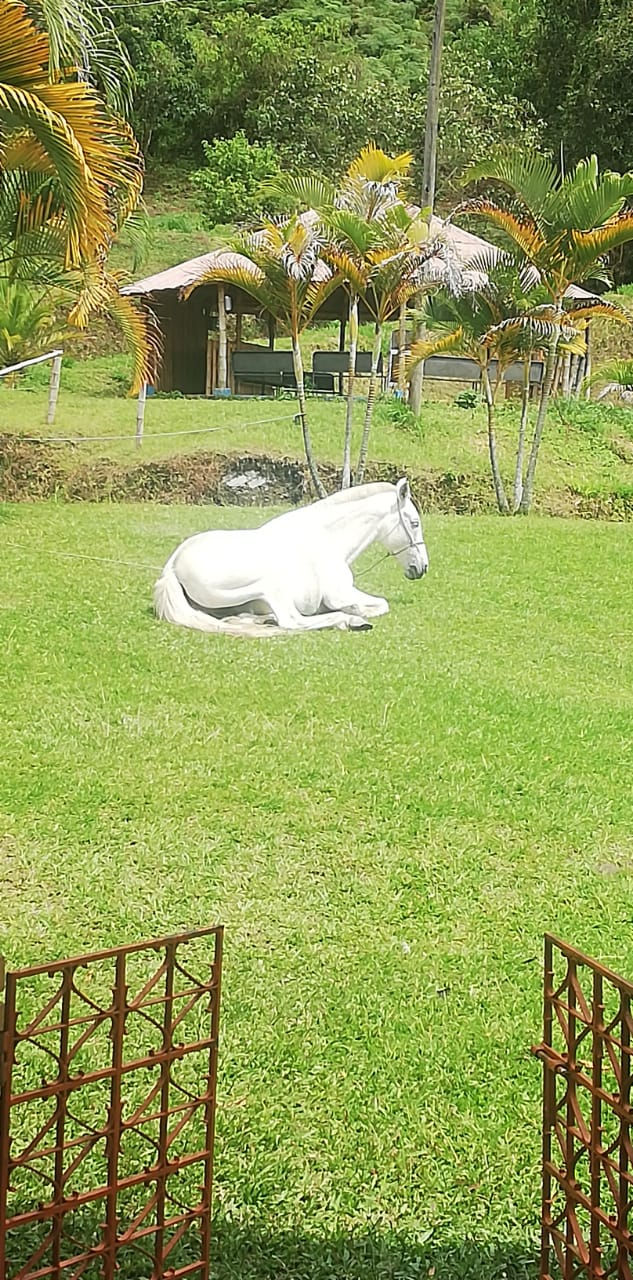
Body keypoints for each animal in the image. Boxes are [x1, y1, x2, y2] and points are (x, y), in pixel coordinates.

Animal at [153, 477, 429, 636]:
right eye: (414, 523)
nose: (422, 567)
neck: (327, 539)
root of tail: (173, 566)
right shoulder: (340, 593)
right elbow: (381, 604)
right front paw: (357, 612)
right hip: (270, 588)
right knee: (291, 621)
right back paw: (350, 621)